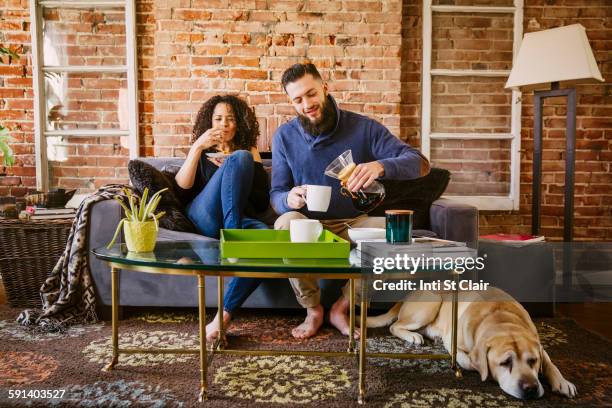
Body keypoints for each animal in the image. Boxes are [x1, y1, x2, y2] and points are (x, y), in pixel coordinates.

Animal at [366, 286, 576, 398]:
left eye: (533, 361)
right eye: (505, 363)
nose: (531, 388)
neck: (501, 318)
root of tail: (410, 293)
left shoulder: (538, 345)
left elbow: (550, 363)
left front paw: (562, 382)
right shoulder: (452, 342)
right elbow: (468, 361)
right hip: (430, 304)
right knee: (395, 326)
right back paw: (413, 336)